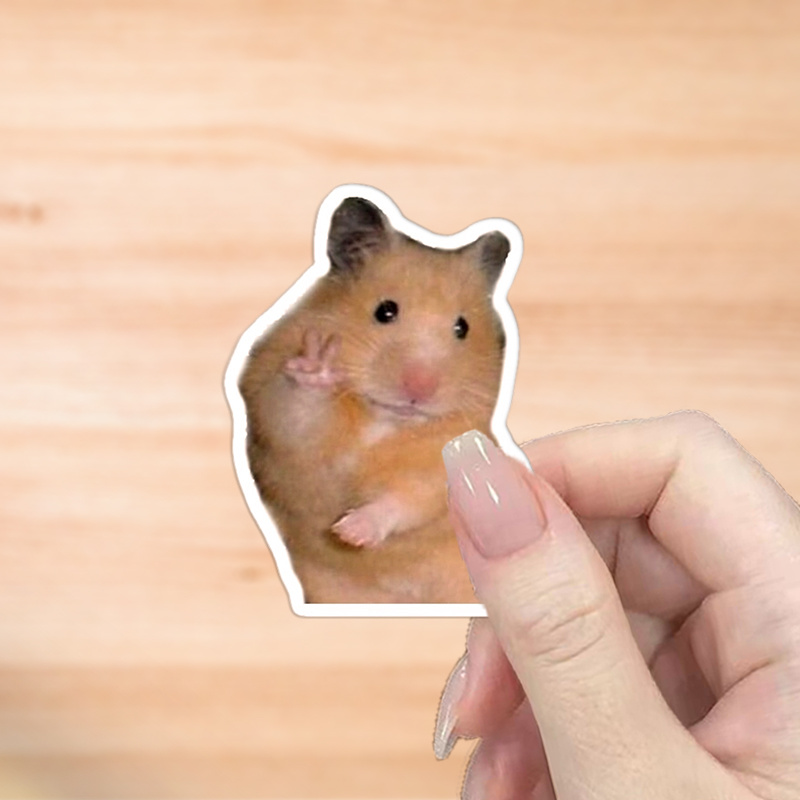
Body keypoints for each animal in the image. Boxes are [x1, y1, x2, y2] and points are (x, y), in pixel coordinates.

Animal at [239, 197, 509, 603]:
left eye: (462, 328)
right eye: (385, 311)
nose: (419, 390)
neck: (383, 420)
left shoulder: (446, 456)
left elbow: (411, 496)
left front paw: (351, 532)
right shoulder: (275, 418)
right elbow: (297, 414)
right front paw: (317, 365)